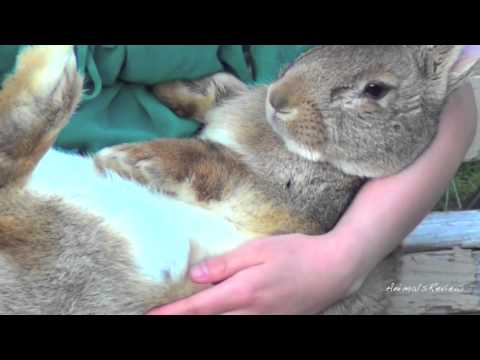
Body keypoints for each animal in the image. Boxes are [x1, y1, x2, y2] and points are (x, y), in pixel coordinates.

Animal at [0, 45, 480, 316]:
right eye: (314, 50)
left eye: (376, 90)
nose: (278, 99)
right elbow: (216, 91)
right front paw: (169, 90)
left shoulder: (299, 209)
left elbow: (223, 166)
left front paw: (138, 157)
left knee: (12, 178)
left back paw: (54, 62)